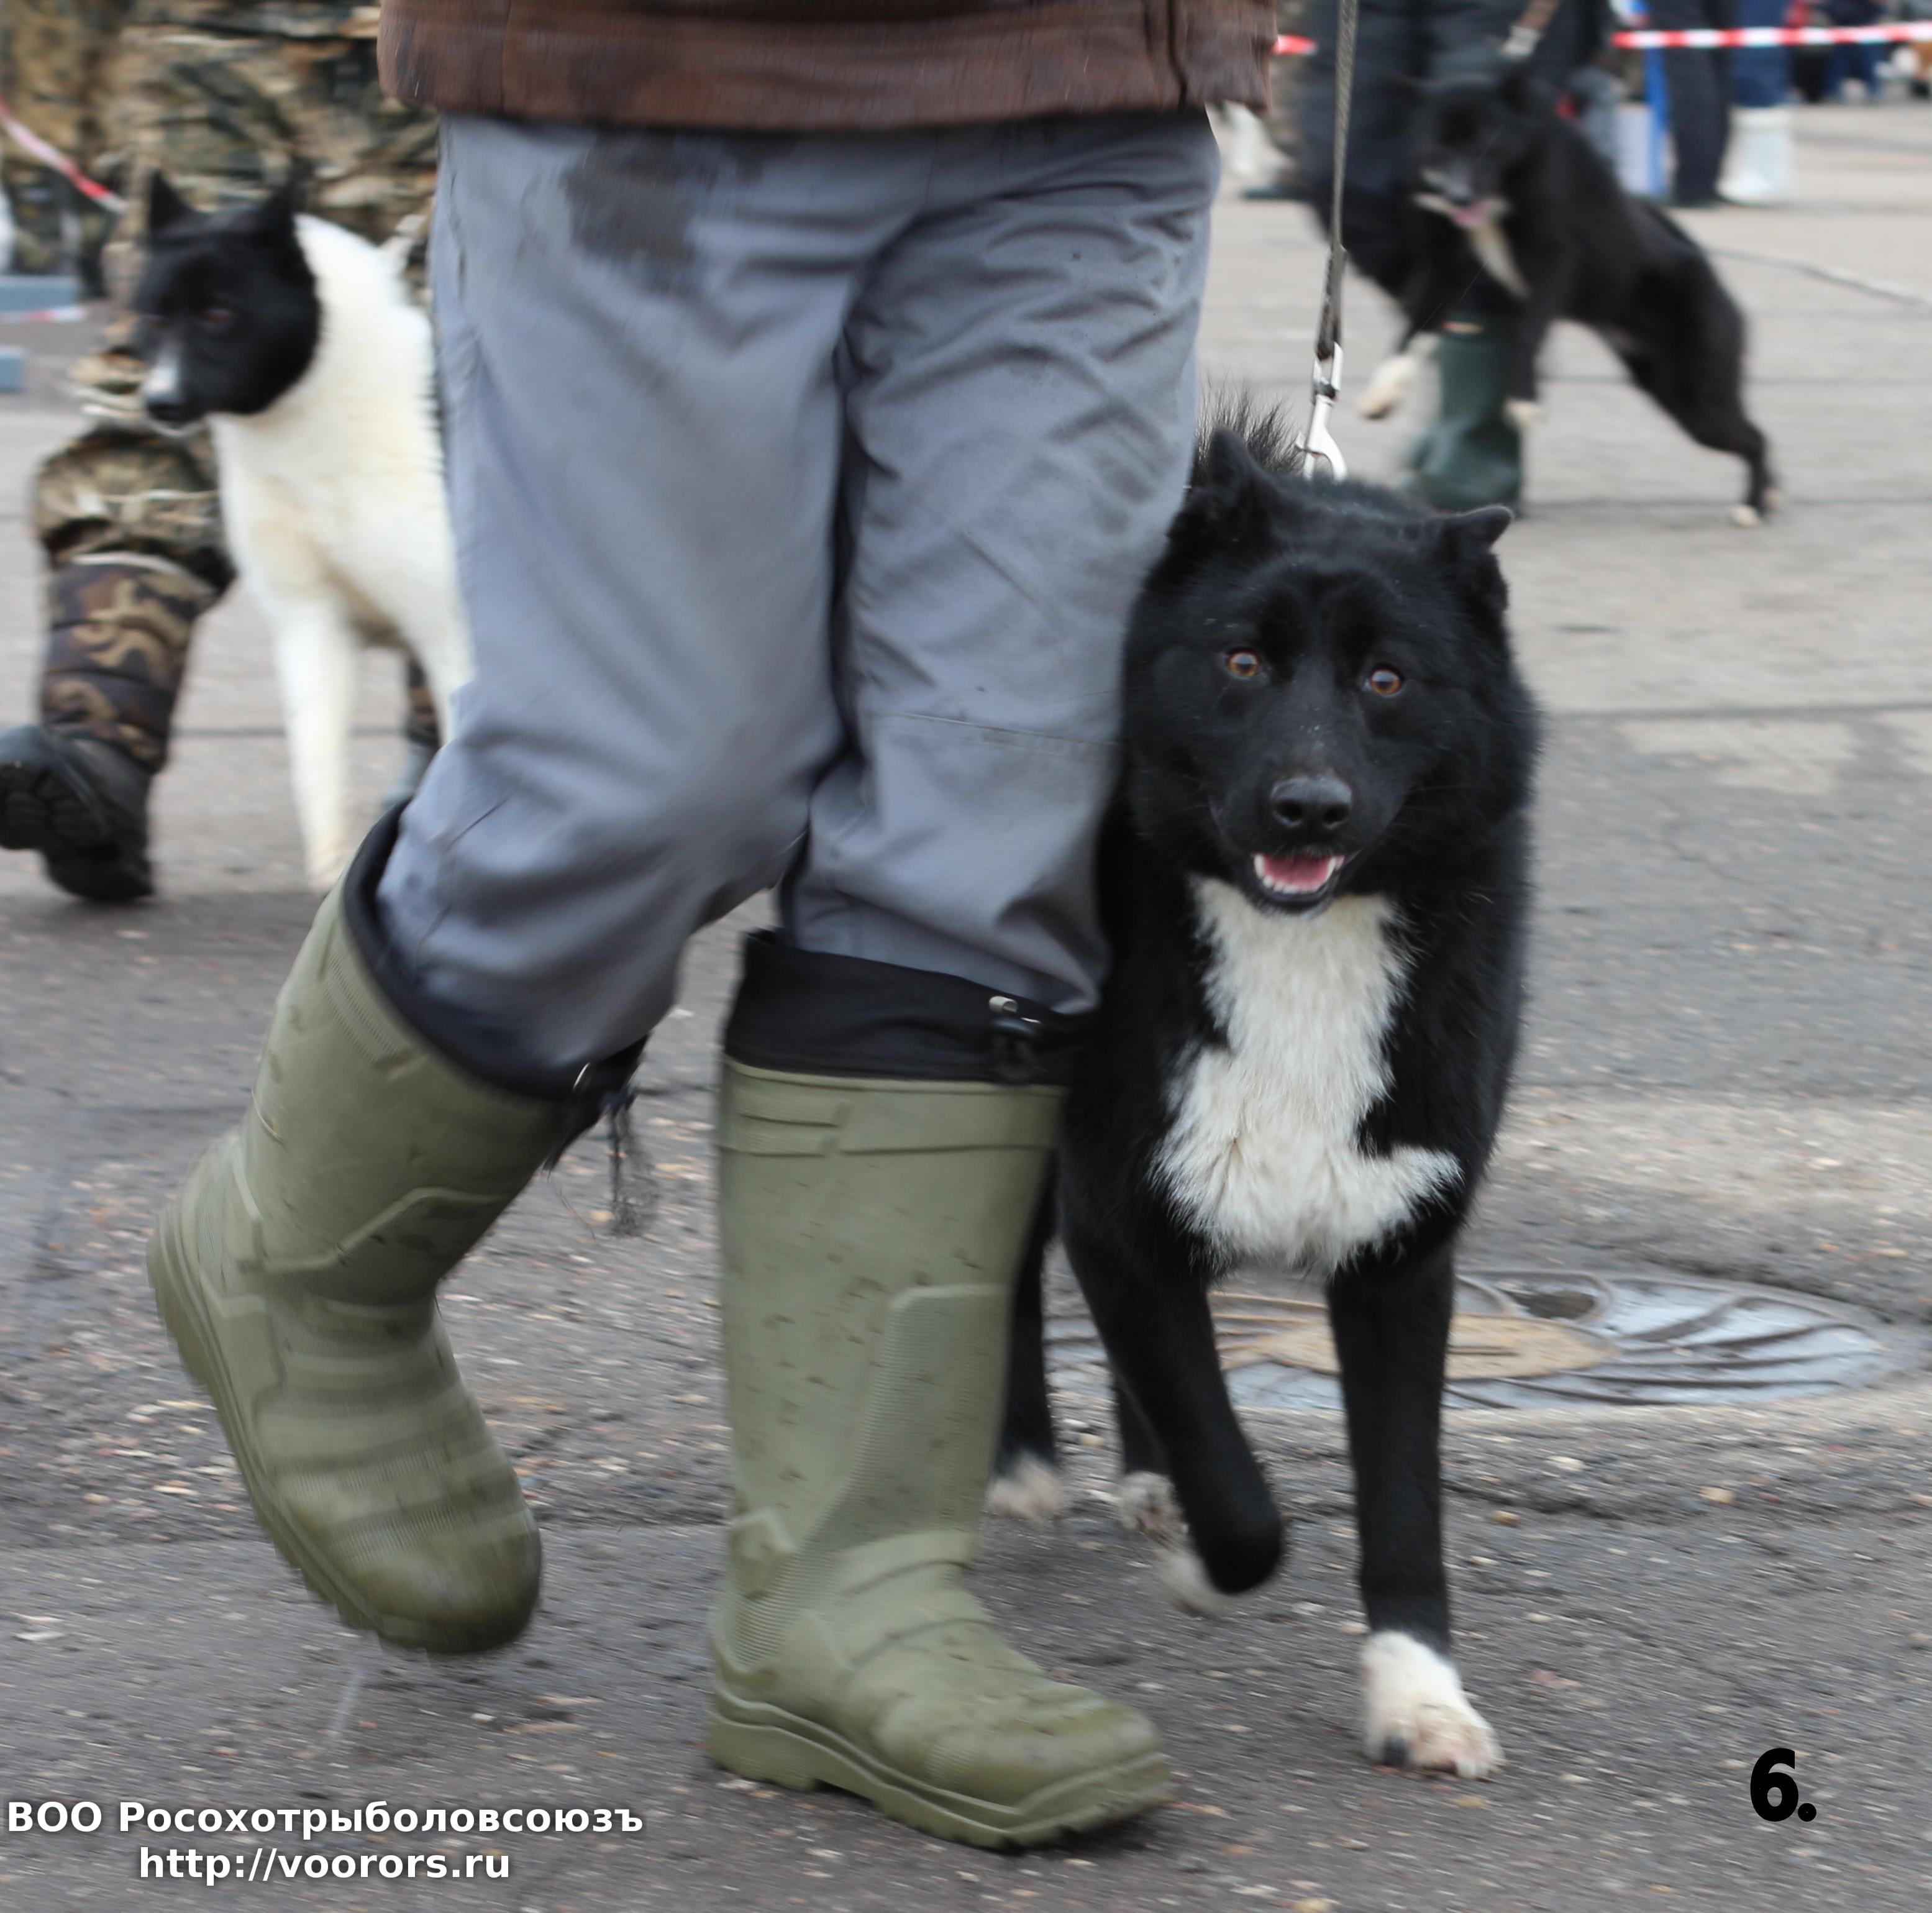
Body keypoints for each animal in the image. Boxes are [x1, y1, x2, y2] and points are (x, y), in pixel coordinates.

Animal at [135, 173, 469, 890]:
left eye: (219, 315)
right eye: (154, 317)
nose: (160, 403)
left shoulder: (450, 631)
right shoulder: (310, 622)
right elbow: (315, 763)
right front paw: (331, 879)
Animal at [994, 408, 1538, 1779]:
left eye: (1387, 681)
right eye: (1241, 661)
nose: (1308, 805)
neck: (1298, 938)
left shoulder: (1402, 1256)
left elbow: (1402, 1504)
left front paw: (1417, 1694)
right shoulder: (1119, 1208)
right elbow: (1237, 1492)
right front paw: (1205, 1550)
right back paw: (1024, 1460)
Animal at [1359, 56, 1776, 527]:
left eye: (1485, 141)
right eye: (1437, 144)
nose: (1458, 196)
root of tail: (1713, 278)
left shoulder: (1552, 264)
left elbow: (1525, 333)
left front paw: (1524, 403)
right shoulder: (1440, 269)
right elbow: (1412, 331)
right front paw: (1383, 392)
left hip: (1701, 395)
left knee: (1757, 439)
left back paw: (1756, 504)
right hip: (1670, 389)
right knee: (1751, 435)